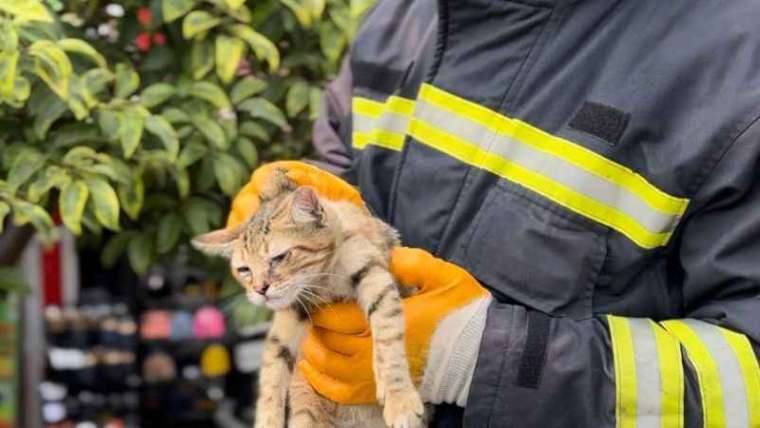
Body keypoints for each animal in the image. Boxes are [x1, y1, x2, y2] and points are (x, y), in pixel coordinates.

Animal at [193, 172, 424, 426]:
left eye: (279, 257)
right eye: (244, 270)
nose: (260, 289)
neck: (324, 283)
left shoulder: (373, 274)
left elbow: (387, 337)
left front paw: (399, 399)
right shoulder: (293, 308)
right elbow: (272, 367)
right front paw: (267, 419)